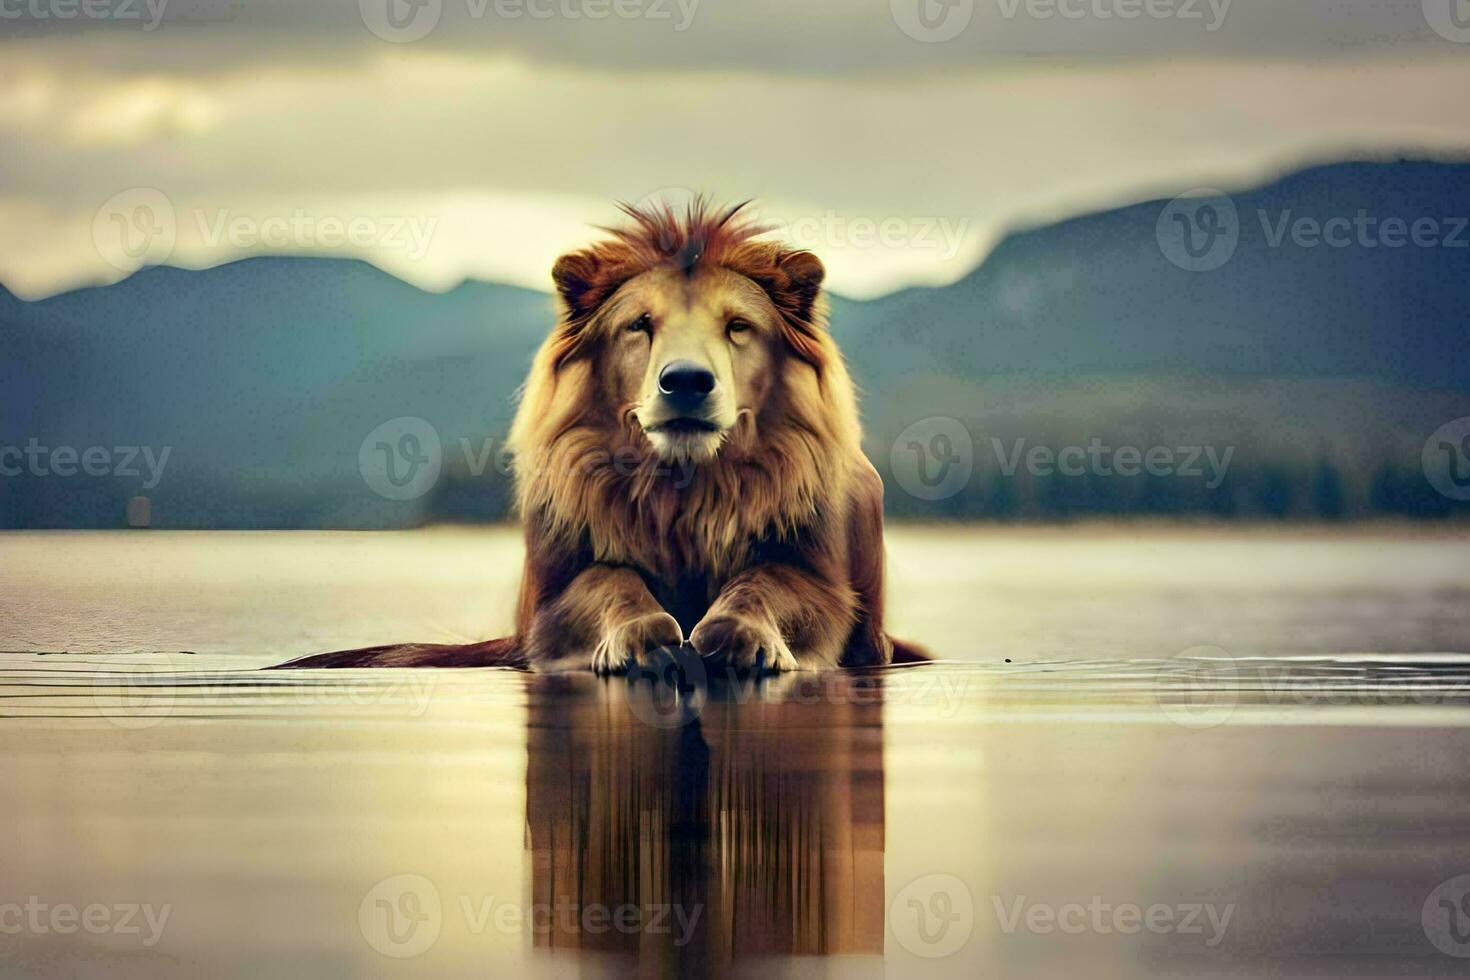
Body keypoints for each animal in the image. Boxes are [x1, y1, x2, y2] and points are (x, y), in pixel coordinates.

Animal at [279, 199, 923, 675]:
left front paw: (736, 638)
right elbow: (607, 580)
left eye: (738, 327)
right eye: (639, 325)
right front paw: (645, 638)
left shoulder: (822, 580)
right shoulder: (548, 602)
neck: (685, 491)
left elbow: (768, 584)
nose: (686, 380)